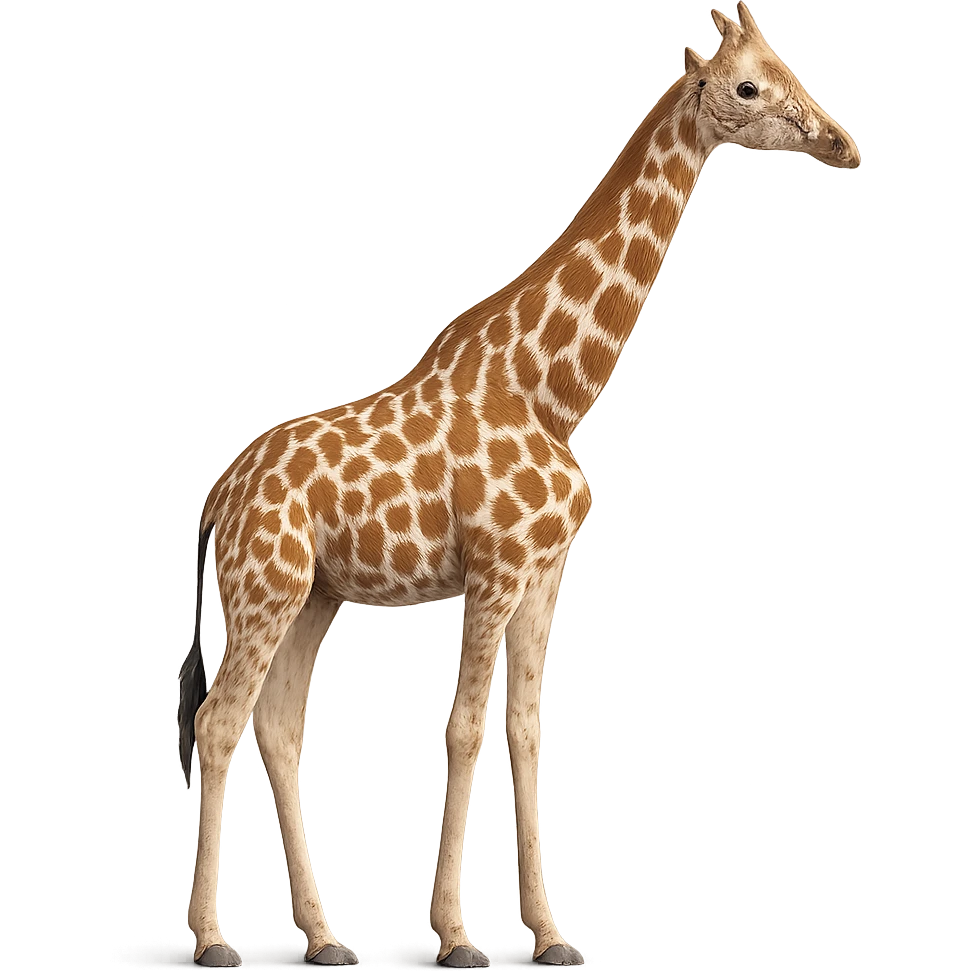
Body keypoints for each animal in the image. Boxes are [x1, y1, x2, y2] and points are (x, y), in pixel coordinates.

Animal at [179, 4, 859, 966]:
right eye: (748, 86)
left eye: (788, 68)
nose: (844, 145)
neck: (552, 391)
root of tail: (216, 497)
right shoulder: (493, 572)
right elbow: (464, 727)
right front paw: (456, 934)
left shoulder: (544, 577)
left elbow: (527, 732)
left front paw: (548, 933)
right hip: (263, 588)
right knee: (216, 720)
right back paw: (211, 938)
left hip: (314, 594)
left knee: (275, 723)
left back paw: (323, 936)